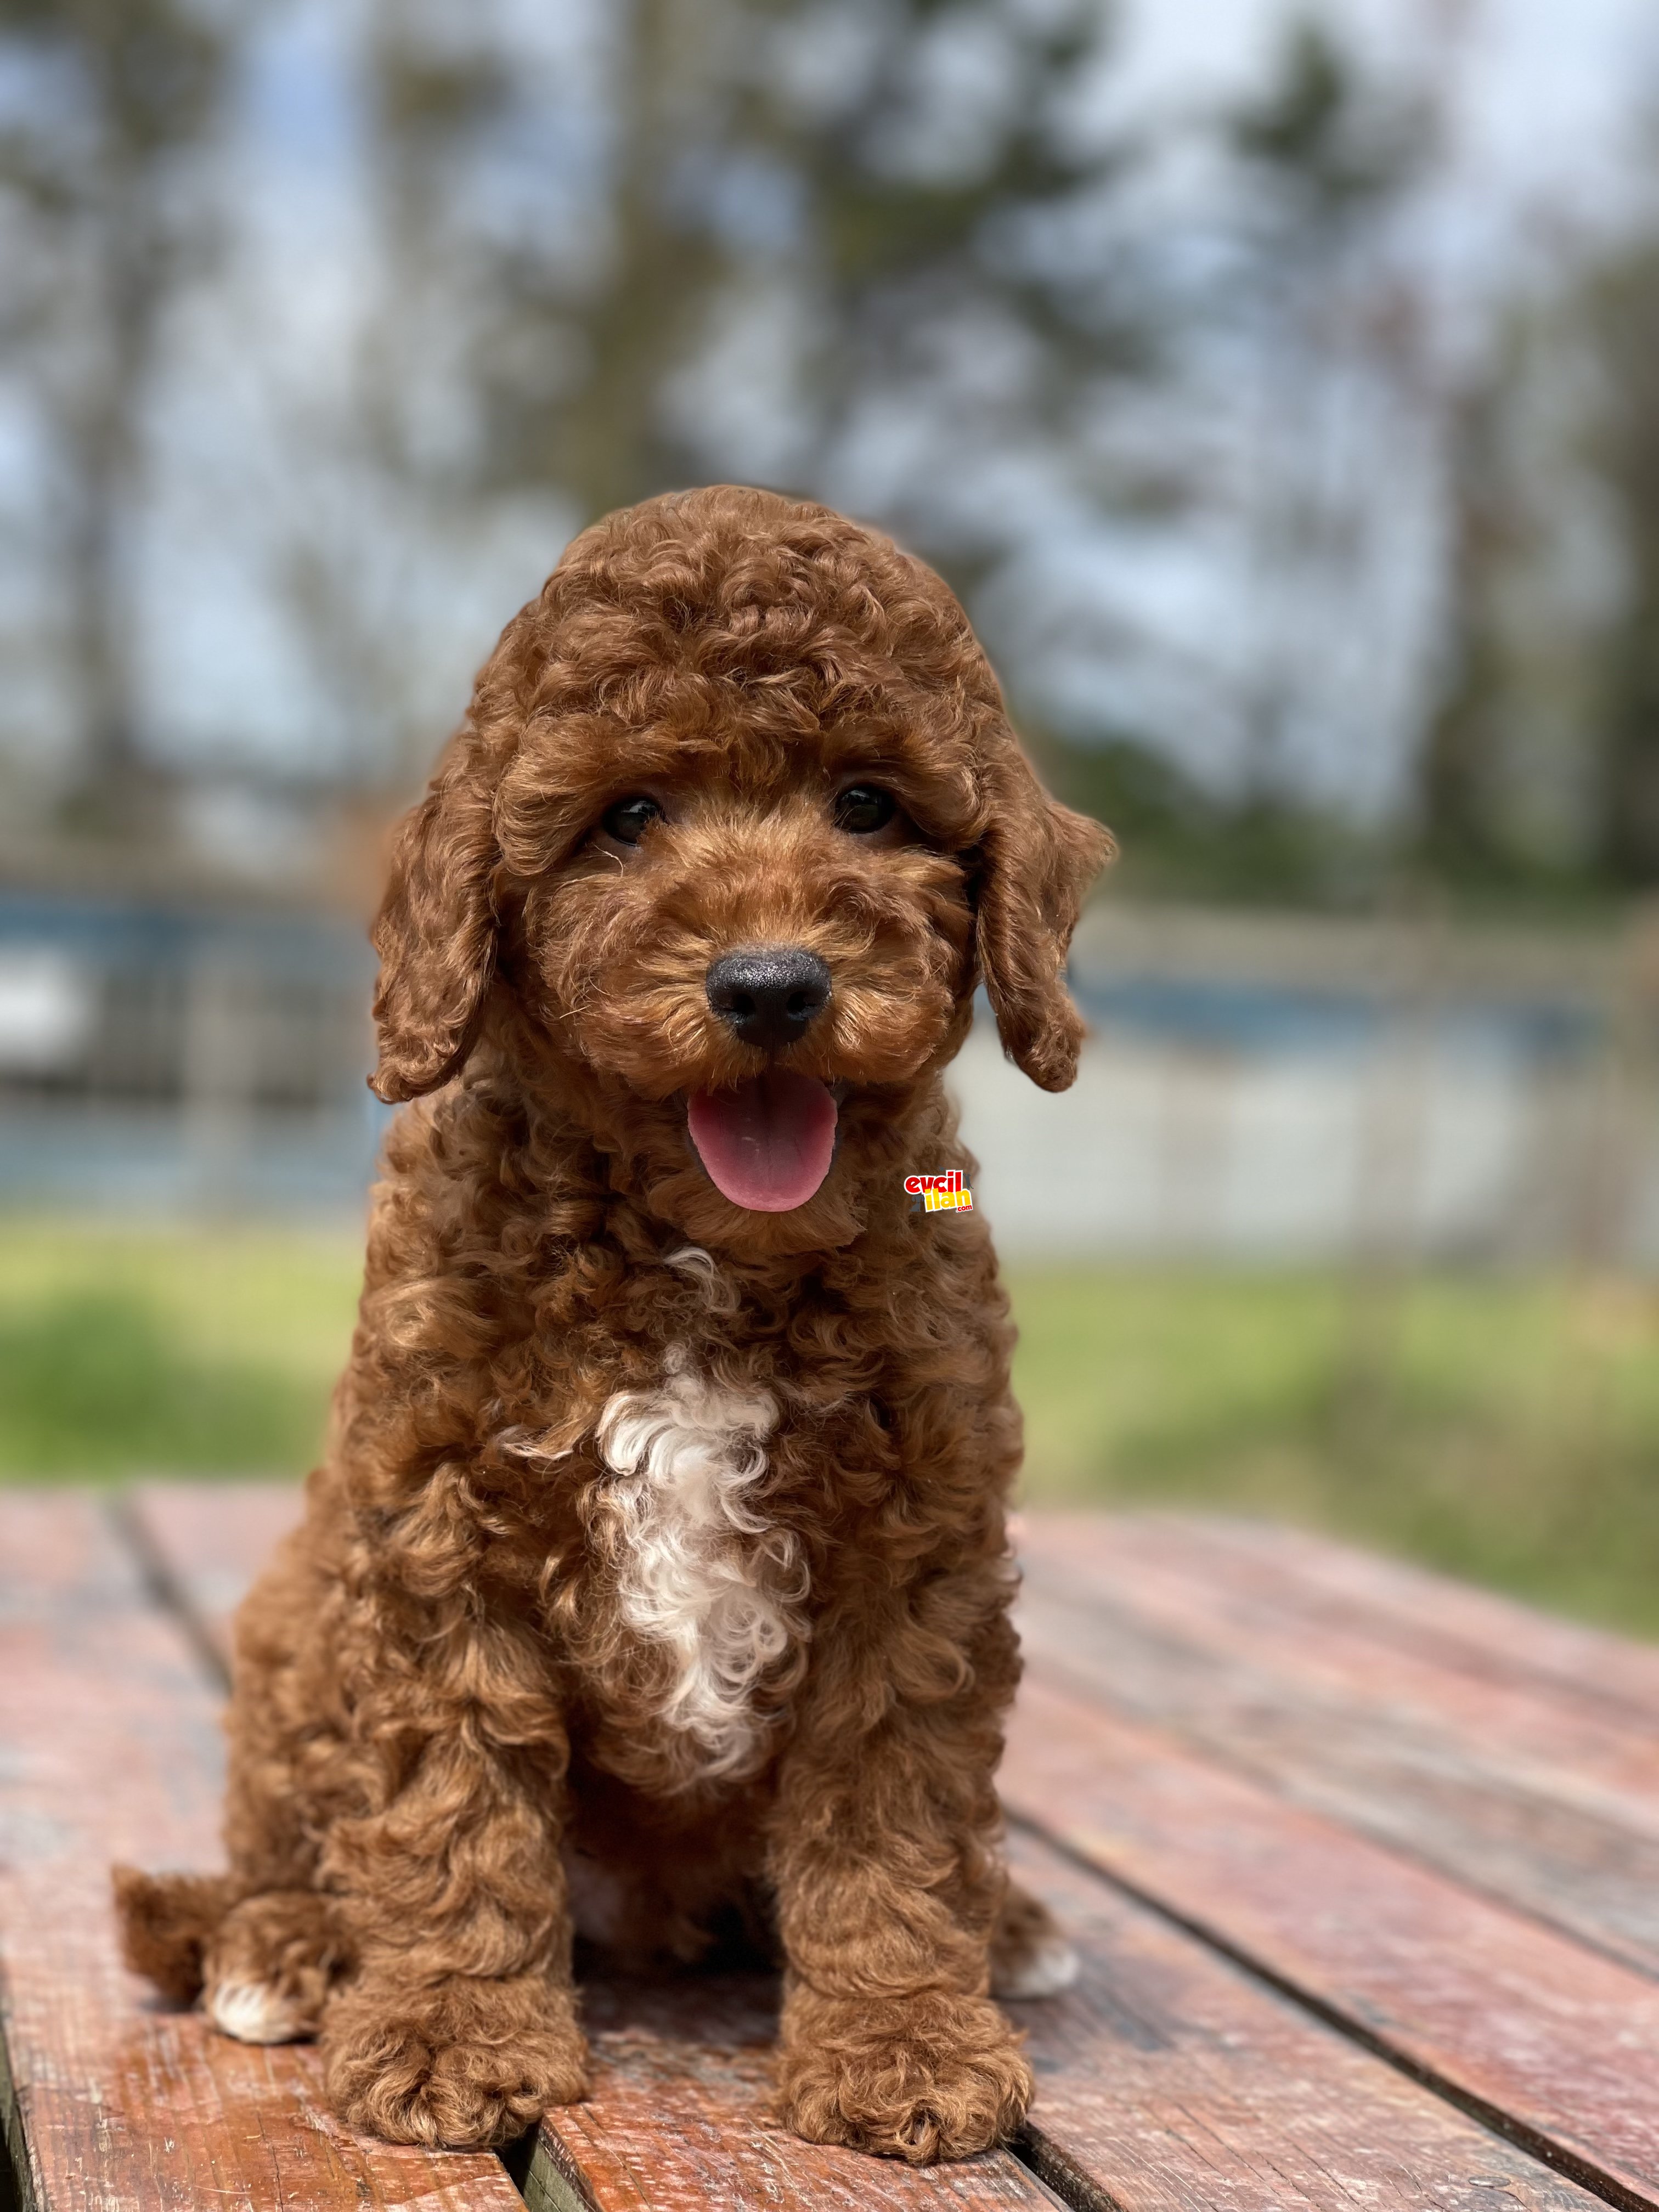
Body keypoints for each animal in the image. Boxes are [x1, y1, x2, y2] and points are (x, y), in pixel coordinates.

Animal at [117, 484, 1119, 2159]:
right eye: (629, 818)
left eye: (869, 804)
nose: (771, 985)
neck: (696, 1254)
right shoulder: (435, 1536)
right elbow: (449, 1801)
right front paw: (452, 2038)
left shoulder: (915, 1555)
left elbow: (894, 1808)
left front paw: (902, 2044)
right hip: (294, 1623)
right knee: (294, 1834)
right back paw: (289, 1947)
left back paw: (1015, 1924)